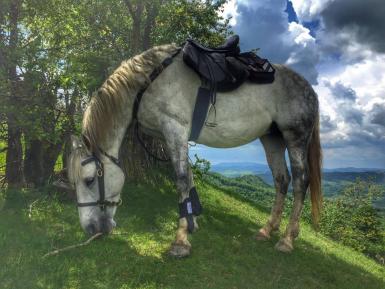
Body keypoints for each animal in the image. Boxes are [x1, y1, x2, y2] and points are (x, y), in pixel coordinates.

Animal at [67, 43, 320, 256]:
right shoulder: (172, 136)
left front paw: (180, 240)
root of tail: (309, 89)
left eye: (90, 180)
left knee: (300, 182)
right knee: (281, 180)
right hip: (272, 139)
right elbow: (187, 177)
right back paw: (268, 229)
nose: (90, 228)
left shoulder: (175, 128)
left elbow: (179, 179)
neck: (147, 83)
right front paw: (191, 224)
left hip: (295, 137)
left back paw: (287, 238)